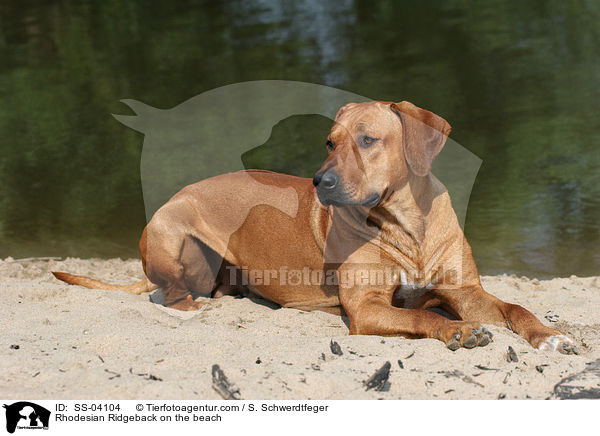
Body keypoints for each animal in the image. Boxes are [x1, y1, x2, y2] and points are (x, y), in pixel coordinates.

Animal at [54, 100, 580, 352]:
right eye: (330, 142)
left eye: (367, 140)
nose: (320, 181)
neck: (407, 225)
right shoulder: (367, 307)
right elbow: (420, 316)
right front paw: (456, 332)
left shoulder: (464, 290)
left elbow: (515, 308)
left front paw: (550, 335)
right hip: (173, 233)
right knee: (170, 294)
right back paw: (196, 307)